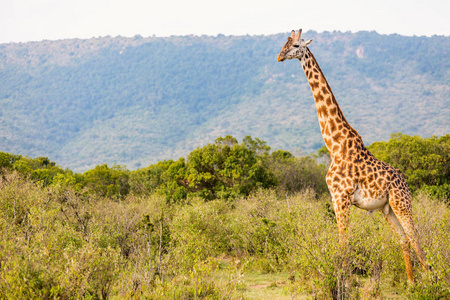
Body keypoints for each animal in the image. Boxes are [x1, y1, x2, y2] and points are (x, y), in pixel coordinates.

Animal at [278, 28, 428, 284]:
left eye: (296, 45)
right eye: (283, 44)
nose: (279, 56)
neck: (334, 144)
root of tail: (405, 181)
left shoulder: (342, 197)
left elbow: (344, 244)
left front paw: (344, 283)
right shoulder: (334, 198)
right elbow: (343, 243)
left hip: (402, 202)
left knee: (416, 238)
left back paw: (429, 280)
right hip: (387, 208)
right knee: (403, 239)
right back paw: (410, 283)